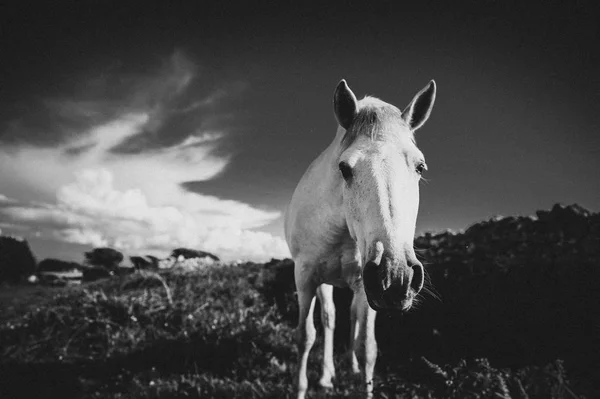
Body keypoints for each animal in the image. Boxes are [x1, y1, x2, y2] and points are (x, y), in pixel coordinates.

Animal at [286, 77, 436, 396]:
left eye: (420, 167)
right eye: (344, 168)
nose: (397, 276)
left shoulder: (366, 284)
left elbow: (367, 347)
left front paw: (360, 372)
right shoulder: (304, 277)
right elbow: (305, 336)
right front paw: (301, 388)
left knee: (353, 317)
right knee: (329, 319)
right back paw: (326, 376)